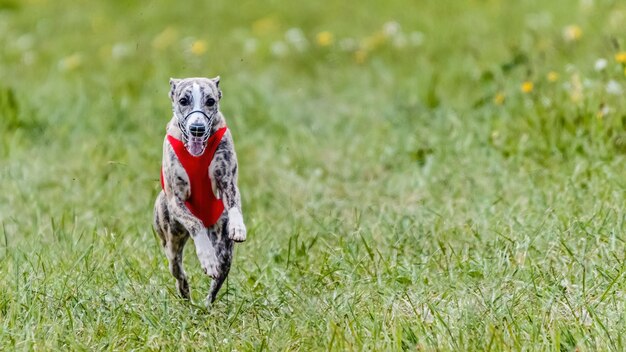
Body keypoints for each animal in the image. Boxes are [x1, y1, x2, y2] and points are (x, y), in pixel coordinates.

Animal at [152, 77, 245, 306]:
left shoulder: (228, 180)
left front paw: (238, 227)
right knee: (178, 270)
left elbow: (234, 201)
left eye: (210, 101)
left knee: (219, 275)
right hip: (172, 241)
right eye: (183, 100)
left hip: (224, 249)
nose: (197, 128)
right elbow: (196, 223)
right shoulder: (176, 200)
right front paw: (207, 258)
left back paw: (206, 304)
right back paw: (186, 293)